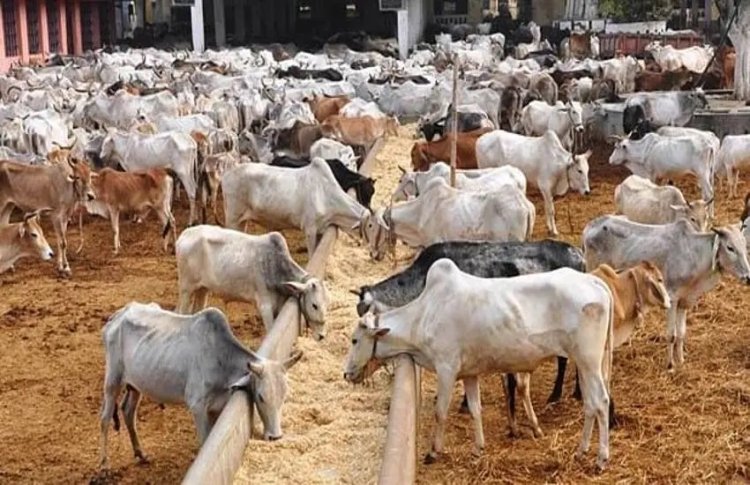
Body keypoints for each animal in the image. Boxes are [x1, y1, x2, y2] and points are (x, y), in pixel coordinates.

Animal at [98, 302, 303, 468]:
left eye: (284, 395)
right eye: (260, 397)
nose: (275, 436)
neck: (221, 358)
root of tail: (118, 314)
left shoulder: (217, 407)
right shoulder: (197, 406)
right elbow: (204, 443)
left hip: (136, 385)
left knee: (128, 411)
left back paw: (140, 454)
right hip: (112, 380)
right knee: (105, 418)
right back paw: (104, 465)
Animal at [176, 227, 328, 340]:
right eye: (314, 305)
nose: (322, 336)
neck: (276, 265)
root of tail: (184, 234)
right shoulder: (265, 306)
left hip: (203, 289)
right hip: (185, 289)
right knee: (180, 312)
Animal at [344, 261, 614, 470]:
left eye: (355, 340)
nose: (347, 373)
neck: (424, 315)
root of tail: (593, 281)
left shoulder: (447, 369)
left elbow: (440, 412)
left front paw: (433, 452)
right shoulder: (469, 374)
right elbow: (475, 409)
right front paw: (478, 448)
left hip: (589, 360)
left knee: (601, 401)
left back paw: (601, 459)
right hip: (588, 363)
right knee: (590, 404)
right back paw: (581, 450)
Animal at [583, 216, 750, 369]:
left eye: (744, 245)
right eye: (730, 247)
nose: (747, 277)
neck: (693, 253)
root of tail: (590, 226)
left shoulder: (684, 301)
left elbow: (681, 333)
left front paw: (681, 360)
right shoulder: (672, 298)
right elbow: (671, 335)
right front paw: (670, 365)